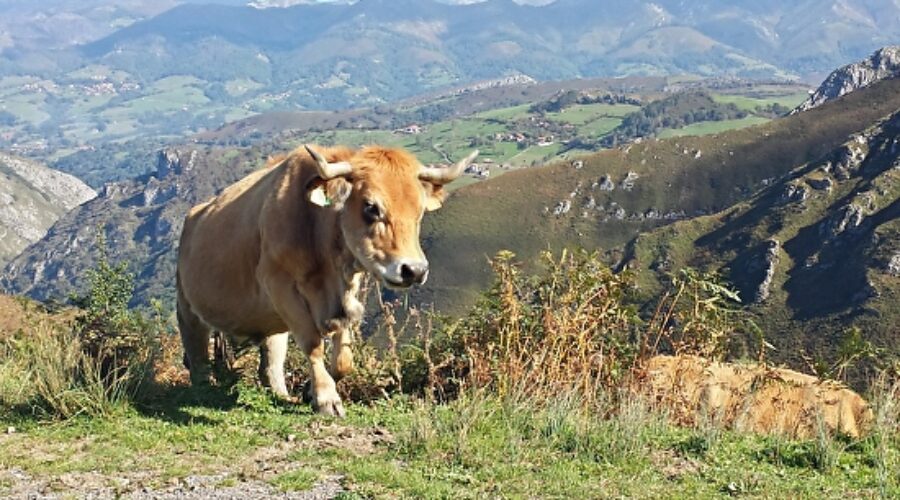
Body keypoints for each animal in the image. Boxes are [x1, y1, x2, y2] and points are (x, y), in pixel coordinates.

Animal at [171, 143, 474, 416]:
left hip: (271, 322)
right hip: (187, 307)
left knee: (271, 361)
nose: (414, 270)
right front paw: (326, 398)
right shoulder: (280, 286)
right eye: (371, 207)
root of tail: (195, 213)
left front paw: (309, 390)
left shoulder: (347, 293)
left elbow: (344, 358)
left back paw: (281, 393)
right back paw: (203, 387)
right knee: (197, 352)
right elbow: (312, 343)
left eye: (419, 211)